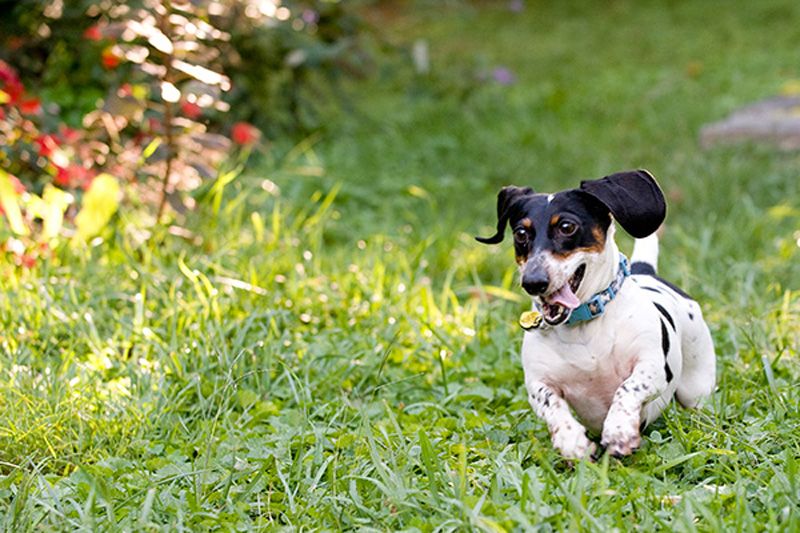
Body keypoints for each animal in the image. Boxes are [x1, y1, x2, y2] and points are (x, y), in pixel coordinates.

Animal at [478, 169, 716, 458]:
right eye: (521, 233)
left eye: (567, 227)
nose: (533, 281)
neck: (584, 326)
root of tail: (646, 271)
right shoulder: (538, 384)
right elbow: (551, 404)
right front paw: (572, 441)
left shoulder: (652, 368)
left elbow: (628, 388)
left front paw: (618, 429)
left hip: (696, 386)